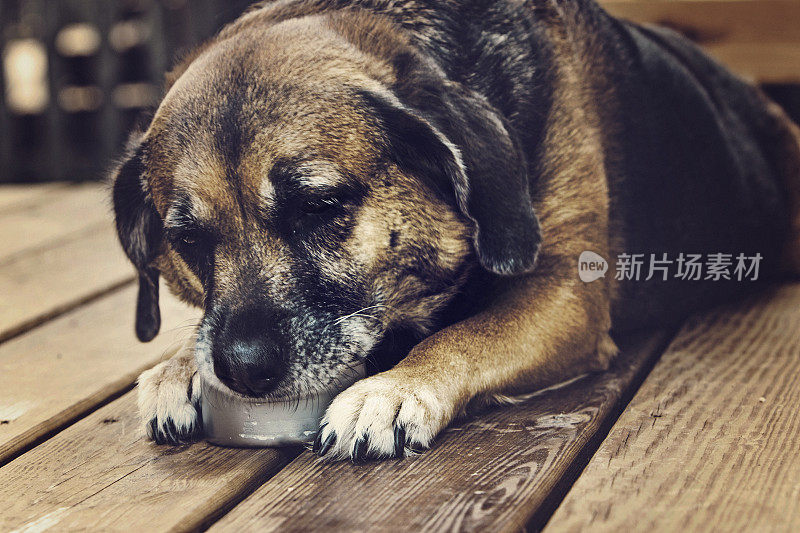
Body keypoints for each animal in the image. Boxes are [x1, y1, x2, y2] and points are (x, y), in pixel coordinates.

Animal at [111, 0, 800, 460]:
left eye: (318, 205)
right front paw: (180, 365)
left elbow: (465, 336)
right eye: (189, 240)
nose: (242, 370)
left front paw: (393, 389)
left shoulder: (563, 296)